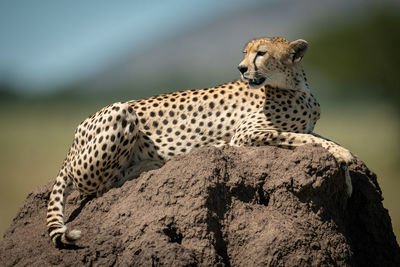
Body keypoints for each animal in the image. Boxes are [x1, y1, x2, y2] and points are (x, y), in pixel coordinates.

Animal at [45, 37, 354, 247]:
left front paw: (347, 171)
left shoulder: (300, 126)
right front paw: (342, 157)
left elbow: (319, 137)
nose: (241, 68)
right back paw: (154, 165)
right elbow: (305, 138)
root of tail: (73, 140)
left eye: (261, 53)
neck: (294, 85)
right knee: (96, 188)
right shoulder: (246, 134)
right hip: (120, 111)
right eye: (245, 53)